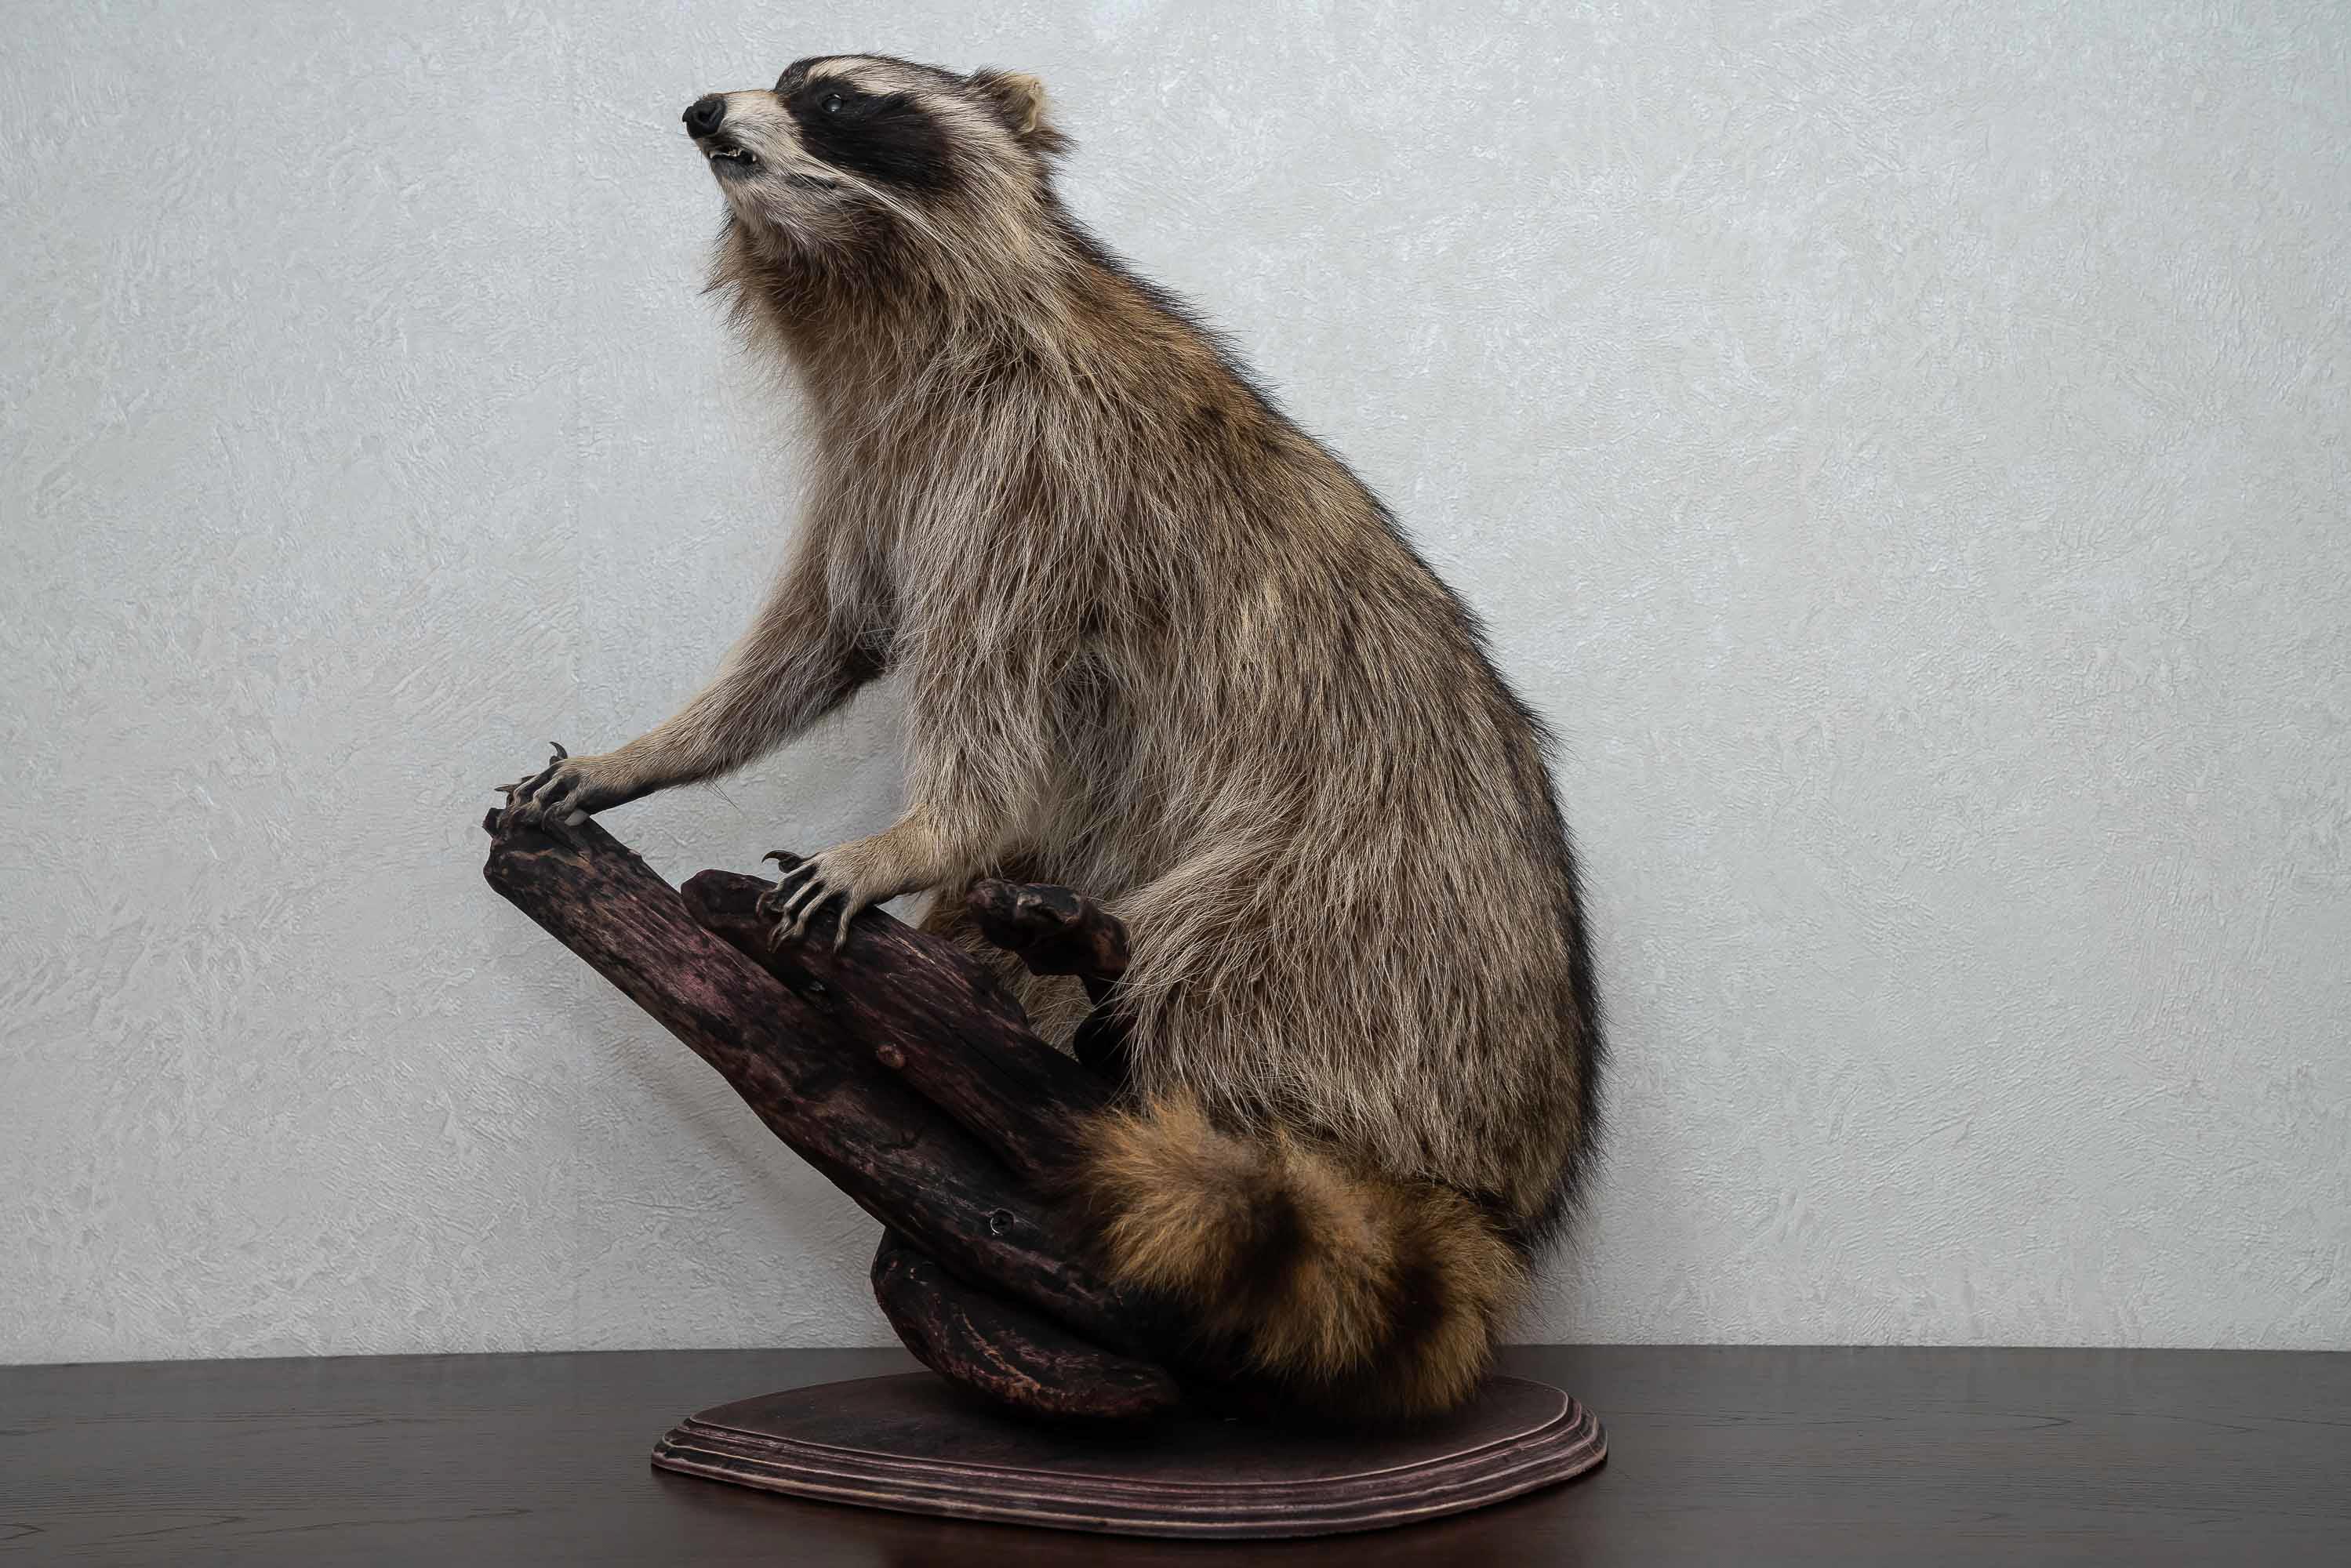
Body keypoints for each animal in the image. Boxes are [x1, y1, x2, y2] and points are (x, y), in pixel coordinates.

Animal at [501, 54, 1603, 1416]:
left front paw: (914, 835)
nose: (705, 111)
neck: (877, 295)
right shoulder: (883, 461)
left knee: (1217, 963)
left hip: (1366, 932)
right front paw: (656, 748)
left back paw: (1105, 996)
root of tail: (1507, 1175)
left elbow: (993, 715)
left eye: (836, 99)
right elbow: (818, 641)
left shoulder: (1036, 473)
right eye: (783, 81)